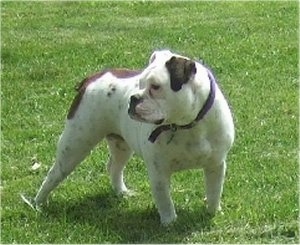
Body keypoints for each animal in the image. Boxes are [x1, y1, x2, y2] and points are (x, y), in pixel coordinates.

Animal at [32, 50, 234, 226]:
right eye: (140, 83)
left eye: (156, 87)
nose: (133, 98)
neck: (187, 124)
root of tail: (91, 78)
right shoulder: (158, 172)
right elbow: (164, 199)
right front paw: (169, 222)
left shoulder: (216, 165)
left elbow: (214, 191)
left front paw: (213, 212)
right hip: (75, 144)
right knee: (54, 174)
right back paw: (38, 204)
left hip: (121, 146)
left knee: (114, 167)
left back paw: (122, 192)